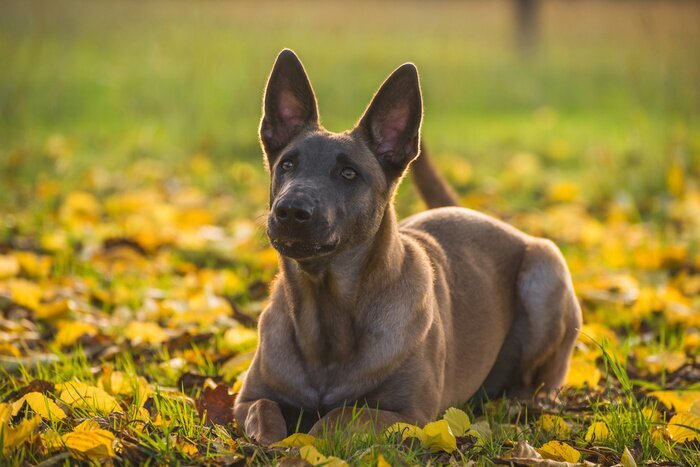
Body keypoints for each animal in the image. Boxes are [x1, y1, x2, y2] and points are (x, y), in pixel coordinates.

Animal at [232, 49, 584, 444]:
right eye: (287, 164)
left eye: (349, 173)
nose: (291, 211)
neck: (326, 317)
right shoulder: (248, 399)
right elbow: (265, 410)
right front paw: (273, 439)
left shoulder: (410, 415)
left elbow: (339, 417)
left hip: (545, 270)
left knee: (535, 384)